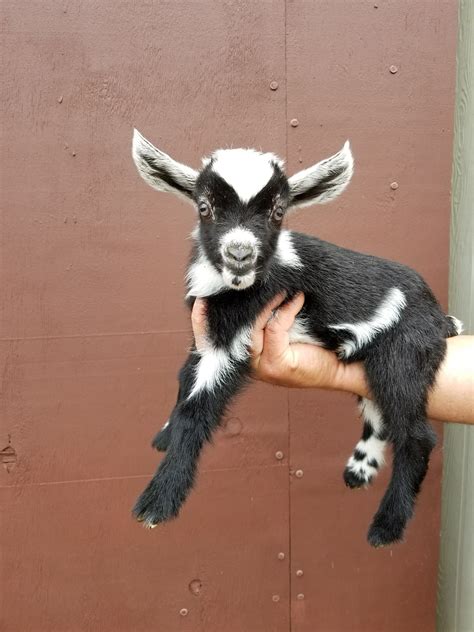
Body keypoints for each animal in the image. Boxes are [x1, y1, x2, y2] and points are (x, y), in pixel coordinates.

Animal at [131, 127, 462, 544]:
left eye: (278, 212)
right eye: (204, 207)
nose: (240, 254)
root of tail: (440, 317)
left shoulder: (237, 334)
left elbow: (197, 406)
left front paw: (158, 501)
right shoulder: (204, 333)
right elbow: (183, 377)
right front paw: (165, 434)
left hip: (403, 354)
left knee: (415, 434)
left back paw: (387, 525)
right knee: (379, 413)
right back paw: (360, 468)